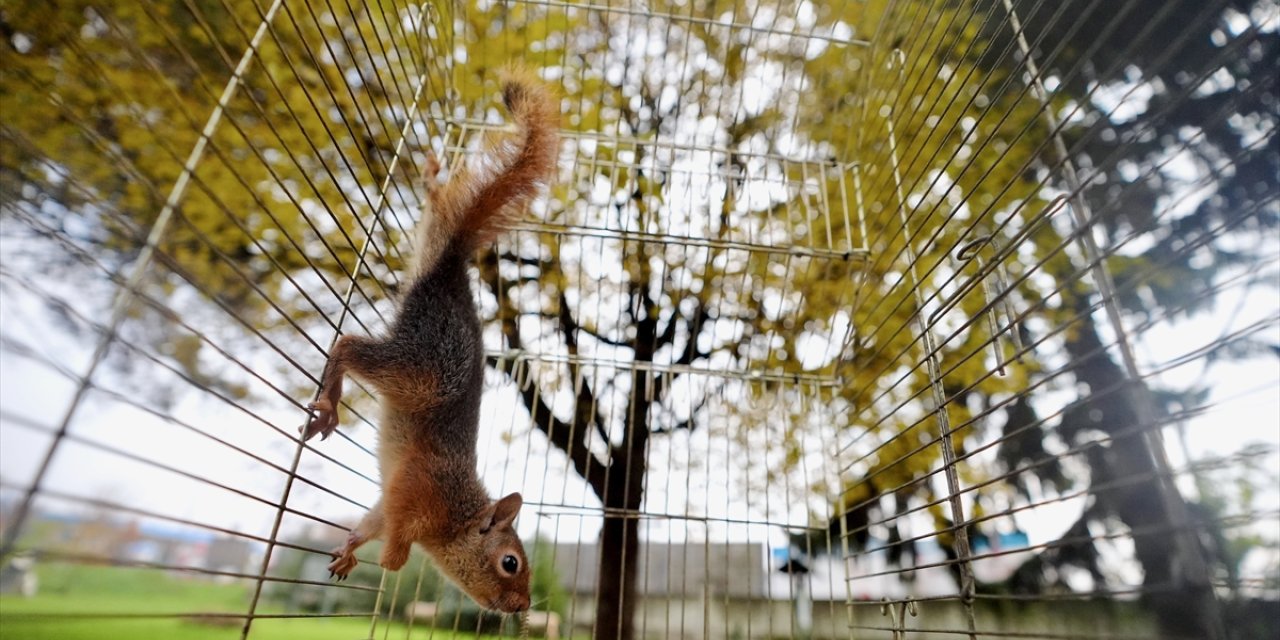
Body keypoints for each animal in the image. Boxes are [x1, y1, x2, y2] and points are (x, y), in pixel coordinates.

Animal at [299, 66, 560, 614]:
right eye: (510, 562)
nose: (523, 607)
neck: (456, 514)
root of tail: (450, 272)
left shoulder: (389, 502)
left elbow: (371, 521)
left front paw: (351, 549)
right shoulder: (415, 490)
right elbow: (396, 538)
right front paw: (391, 560)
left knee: (435, 203)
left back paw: (433, 179)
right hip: (424, 370)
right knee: (348, 345)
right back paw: (329, 403)